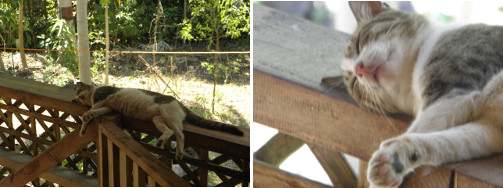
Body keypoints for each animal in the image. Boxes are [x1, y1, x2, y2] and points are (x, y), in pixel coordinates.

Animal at [74, 81, 245, 159]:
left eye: (79, 90)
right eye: (76, 95)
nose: (75, 98)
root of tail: (181, 104)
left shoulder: (101, 99)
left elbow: (88, 113)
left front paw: (84, 125)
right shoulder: (108, 107)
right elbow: (93, 113)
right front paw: (85, 125)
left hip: (168, 114)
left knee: (180, 134)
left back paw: (178, 152)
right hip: (158, 120)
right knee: (170, 132)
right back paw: (163, 143)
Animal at [326, 1, 503, 188]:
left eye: (359, 43)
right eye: (354, 83)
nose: (359, 70)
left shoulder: (454, 91)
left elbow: (421, 126)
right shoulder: (490, 129)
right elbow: (447, 142)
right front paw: (394, 162)